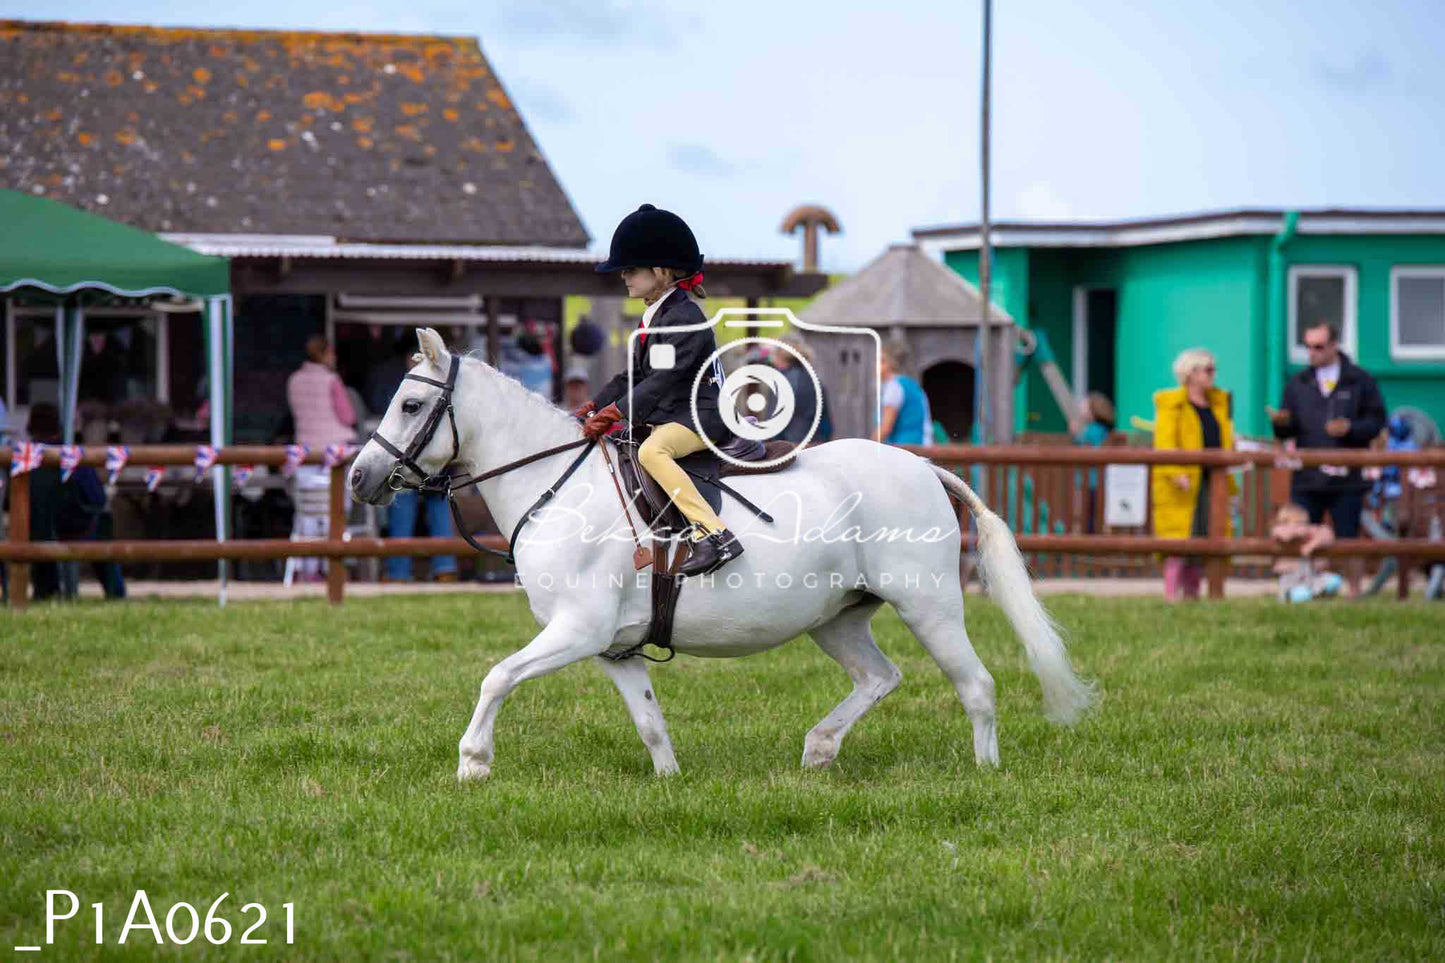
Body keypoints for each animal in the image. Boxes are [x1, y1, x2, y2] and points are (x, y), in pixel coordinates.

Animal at [352, 329, 1092, 780]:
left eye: (410, 403)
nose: (360, 479)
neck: (555, 484)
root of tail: (922, 467)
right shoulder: (613, 647)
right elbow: (649, 722)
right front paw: (670, 782)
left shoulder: (576, 630)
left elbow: (497, 676)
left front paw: (473, 761)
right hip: (837, 617)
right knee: (879, 677)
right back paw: (819, 748)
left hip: (928, 606)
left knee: (976, 685)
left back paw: (983, 772)